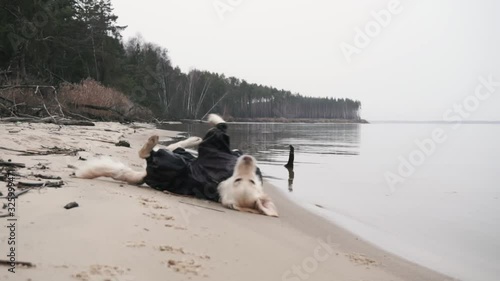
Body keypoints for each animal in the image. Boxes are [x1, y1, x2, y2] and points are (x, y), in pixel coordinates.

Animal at [74, 114, 280, 217]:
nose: (248, 159)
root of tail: (146, 176)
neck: (221, 183)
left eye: (247, 182)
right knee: (171, 147)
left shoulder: (215, 147)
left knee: (148, 153)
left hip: (174, 162)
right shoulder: (217, 147)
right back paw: (189, 138)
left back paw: (153, 141)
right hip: (181, 156)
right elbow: (222, 125)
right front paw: (213, 118)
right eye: (239, 180)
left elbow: (221, 129)